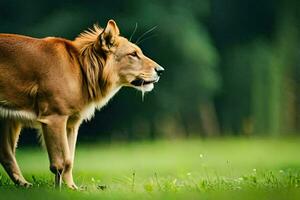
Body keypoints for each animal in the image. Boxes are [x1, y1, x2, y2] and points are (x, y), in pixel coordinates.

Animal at [0, 19, 164, 189]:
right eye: (133, 54)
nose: (161, 70)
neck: (81, 70)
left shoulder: (71, 124)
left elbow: (69, 161)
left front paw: (71, 188)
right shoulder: (54, 118)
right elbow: (61, 162)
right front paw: (59, 191)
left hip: (9, 119)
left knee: (6, 153)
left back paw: (24, 184)